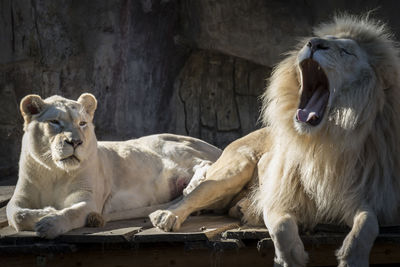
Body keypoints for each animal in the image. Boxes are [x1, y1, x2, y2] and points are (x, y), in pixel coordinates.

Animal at [6, 93, 220, 239]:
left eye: (82, 123)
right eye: (55, 122)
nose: (75, 142)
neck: (55, 172)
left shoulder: (89, 200)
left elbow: (71, 212)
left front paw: (49, 223)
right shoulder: (19, 197)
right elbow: (17, 215)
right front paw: (47, 212)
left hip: (169, 145)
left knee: (205, 163)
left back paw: (192, 186)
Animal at [148, 15, 400, 266]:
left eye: (347, 52)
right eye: (318, 39)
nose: (313, 43)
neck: (321, 142)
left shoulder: (354, 195)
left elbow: (368, 222)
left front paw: (352, 257)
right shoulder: (276, 188)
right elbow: (281, 225)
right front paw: (291, 257)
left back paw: (241, 208)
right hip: (235, 169)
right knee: (195, 193)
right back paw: (167, 216)